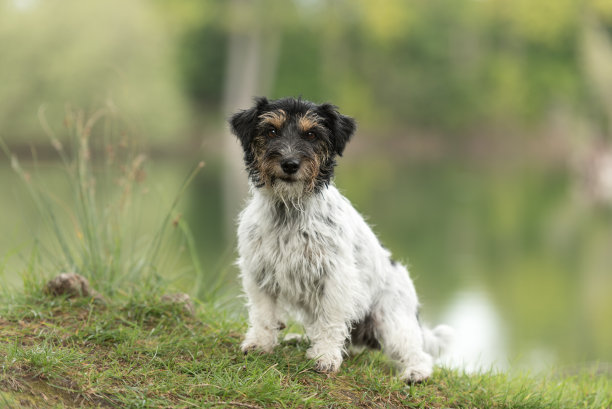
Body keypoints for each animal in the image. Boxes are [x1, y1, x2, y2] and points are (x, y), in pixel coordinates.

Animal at [227, 97, 452, 380]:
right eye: (271, 131)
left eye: (312, 134)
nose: (290, 164)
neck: (289, 211)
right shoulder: (259, 274)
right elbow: (263, 315)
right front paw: (260, 343)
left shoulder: (335, 278)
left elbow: (330, 321)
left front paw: (325, 357)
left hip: (392, 324)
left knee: (418, 354)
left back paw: (415, 373)